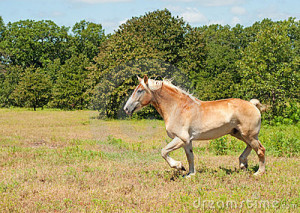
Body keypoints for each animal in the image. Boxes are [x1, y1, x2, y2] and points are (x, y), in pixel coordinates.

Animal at [123, 75, 264, 176]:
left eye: (140, 90)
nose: (126, 109)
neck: (177, 108)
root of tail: (252, 104)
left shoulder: (181, 138)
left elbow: (164, 151)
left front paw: (179, 166)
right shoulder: (187, 141)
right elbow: (190, 157)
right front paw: (190, 173)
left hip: (248, 135)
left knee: (260, 149)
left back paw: (259, 172)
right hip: (239, 133)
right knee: (251, 147)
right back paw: (243, 164)